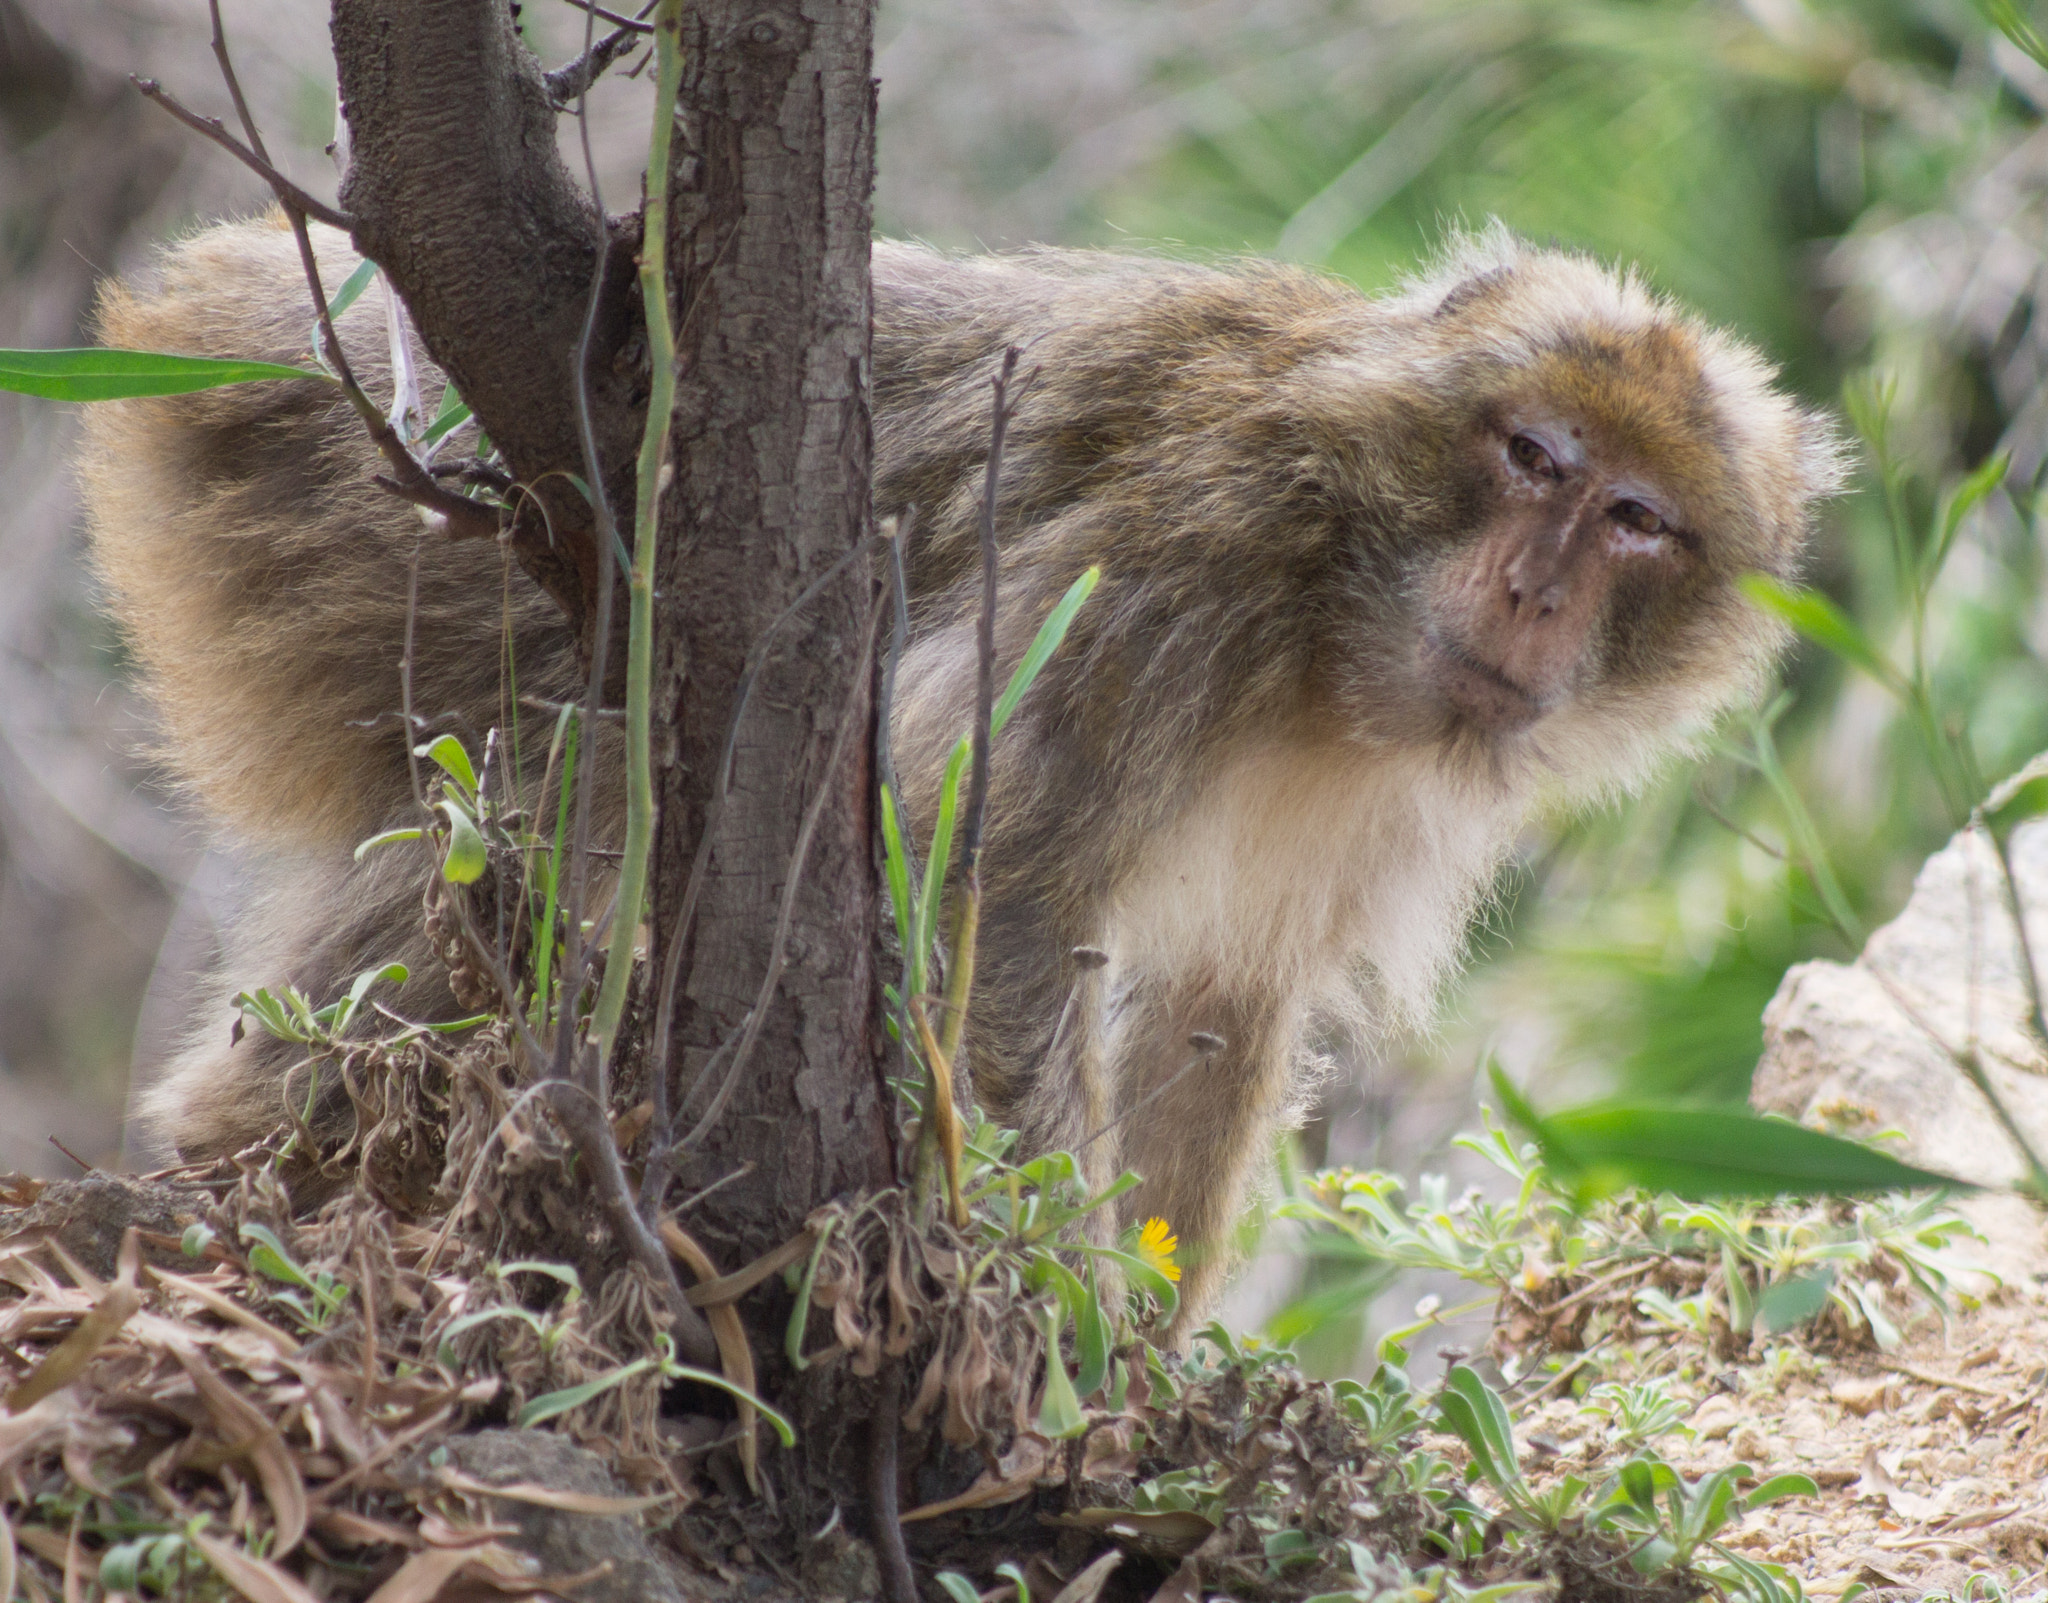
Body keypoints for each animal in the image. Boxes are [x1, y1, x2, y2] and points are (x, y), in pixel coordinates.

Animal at [79, 215, 1843, 1318]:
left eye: (1635, 519)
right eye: (1532, 455)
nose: (1538, 587)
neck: (1339, 603)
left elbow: (1216, 1009)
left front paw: (1144, 1354)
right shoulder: (1176, 567)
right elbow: (981, 871)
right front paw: (1057, 1346)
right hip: (356, 525)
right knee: (574, 824)